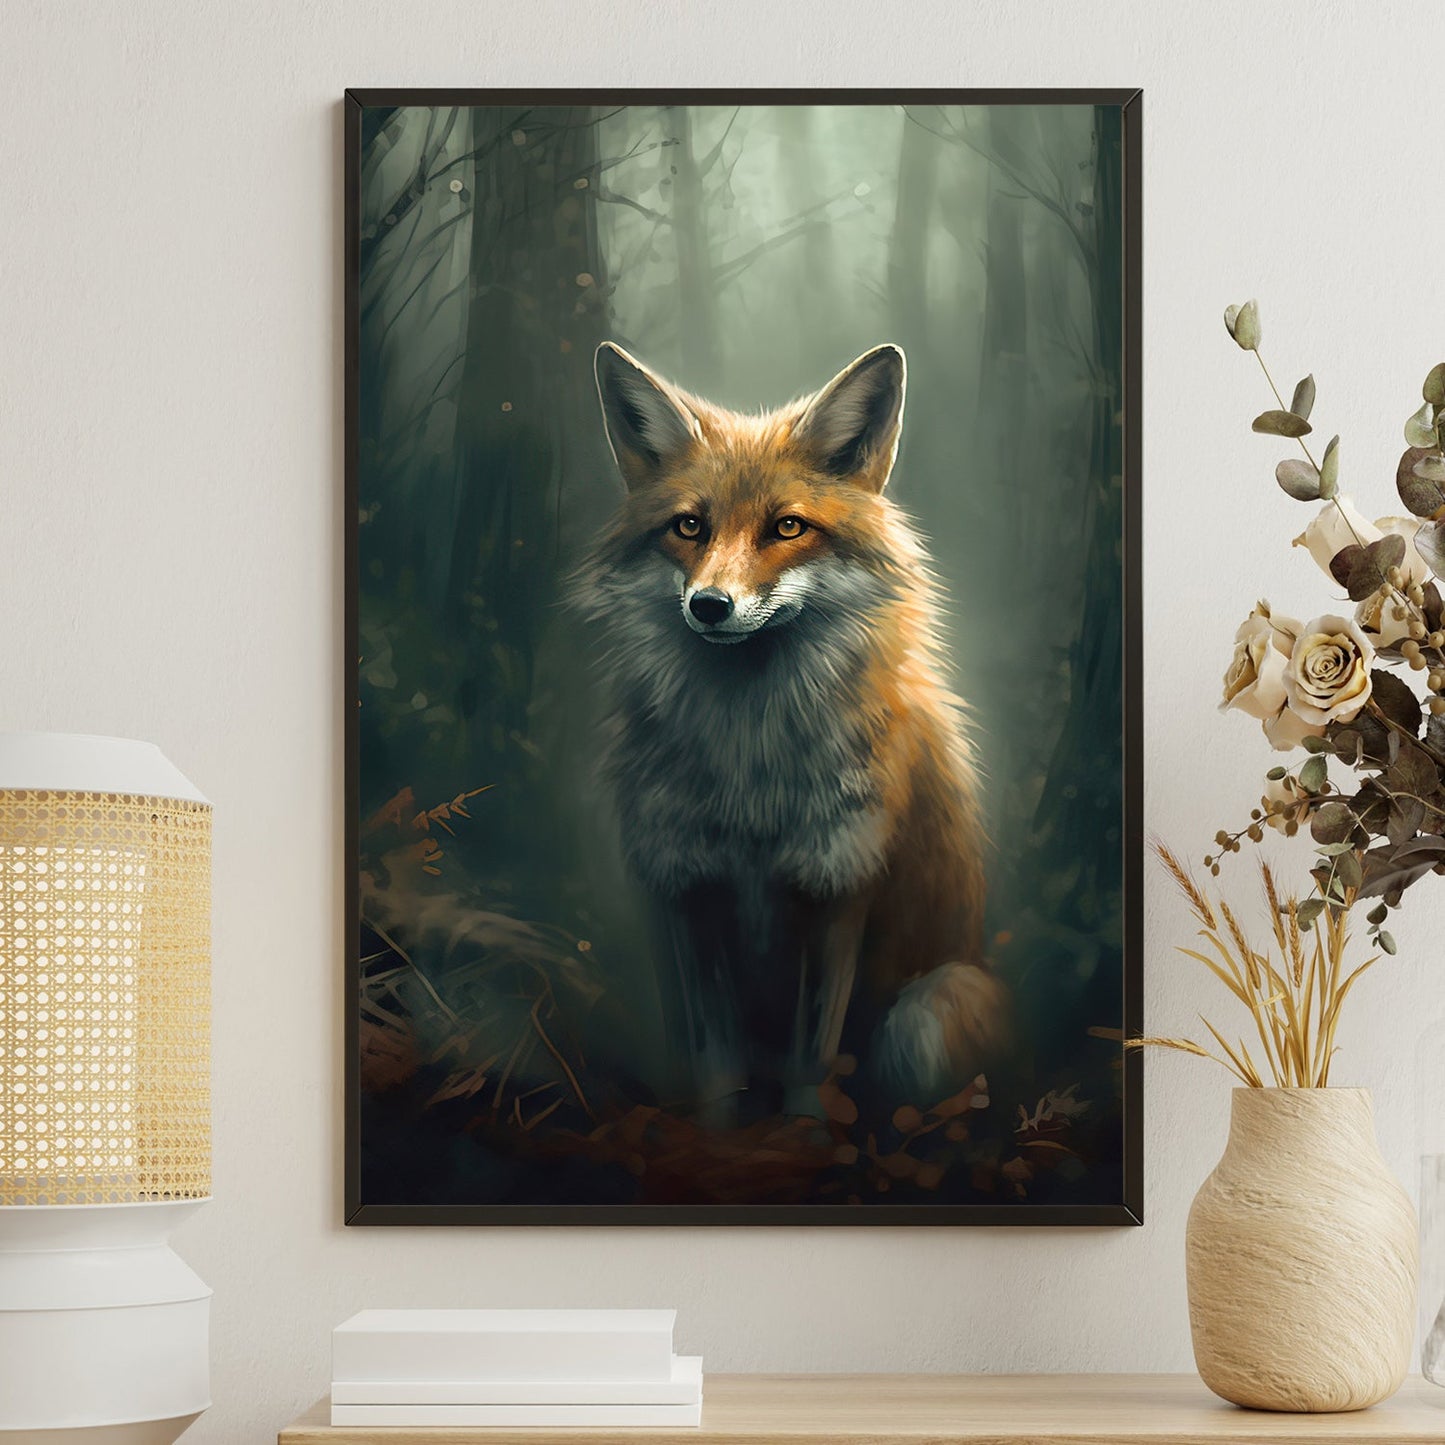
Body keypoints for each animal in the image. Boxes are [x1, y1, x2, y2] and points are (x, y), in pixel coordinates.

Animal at [573, 340, 1010, 1119]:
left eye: (787, 527)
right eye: (689, 526)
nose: (709, 605)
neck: (749, 771)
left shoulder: (837, 883)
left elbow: (811, 1066)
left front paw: (804, 1134)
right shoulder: (685, 888)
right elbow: (717, 1071)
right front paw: (722, 1133)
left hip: (928, 1012)